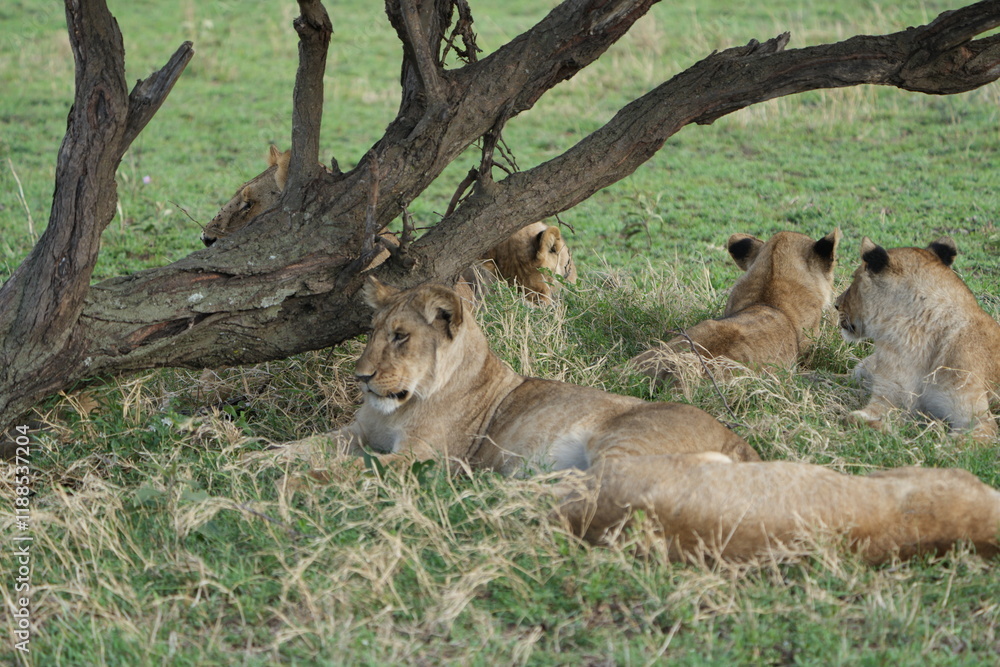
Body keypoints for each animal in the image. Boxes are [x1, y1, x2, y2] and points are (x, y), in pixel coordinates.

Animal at [281, 278, 1000, 563]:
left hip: (615, 440)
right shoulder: (355, 431)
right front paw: (258, 462)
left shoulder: (424, 458)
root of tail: (736, 439)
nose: (360, 377)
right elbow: (298, 448)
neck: (404, 399)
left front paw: (296, 487)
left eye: (401, 337)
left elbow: (358, 471)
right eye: (372, 333)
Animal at [835, 236, 1000, 442]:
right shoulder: (888, 395)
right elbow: (856, 417)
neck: (915, 335)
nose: (836, 304)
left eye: (853, 278)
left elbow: (956, 441)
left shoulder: (976, 417)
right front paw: (888, 427)